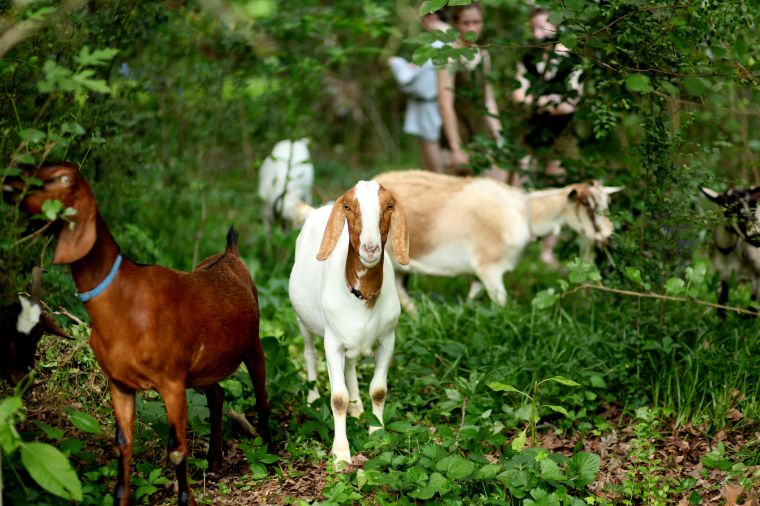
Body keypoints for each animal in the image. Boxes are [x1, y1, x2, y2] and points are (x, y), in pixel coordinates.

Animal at [4, 163, 271, 506]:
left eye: (63, 178)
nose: (11, 184)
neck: (124, 301)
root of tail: (230, 255)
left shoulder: (171, 381)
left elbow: (176, 448)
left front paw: (186, 499)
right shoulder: (120, 383)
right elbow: (123, 442)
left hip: (253, 346)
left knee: (262, 399)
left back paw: (271, 455)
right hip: (202, 368)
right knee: (217, 395)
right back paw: (214, 462)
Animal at [288, 180, 409, 464]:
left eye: (389, 206)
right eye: (347, 207)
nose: (370, 248)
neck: (362, 297)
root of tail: (317, 210)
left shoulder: (388, 339)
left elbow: (378, 390)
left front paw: (377, 433)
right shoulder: (332, 343)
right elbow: (338, 398)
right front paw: (341, 453)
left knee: (351, 365)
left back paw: (357, 406)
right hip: (303, 321)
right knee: (309, 354)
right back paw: (312, 398)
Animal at [374, 170, 622, 311]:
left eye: (608, 203)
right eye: (587, 204)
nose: (609, 237)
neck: (522, 213)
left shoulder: (479, 272)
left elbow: (473, 298)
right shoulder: (488, 267)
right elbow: (501, 304)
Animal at [701, 186, 760, 315]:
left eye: (754, 205)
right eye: (728, 206)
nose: (755, 235)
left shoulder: (758, 280)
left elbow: (751, 311)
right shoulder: (723, 276)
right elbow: (721, 308)